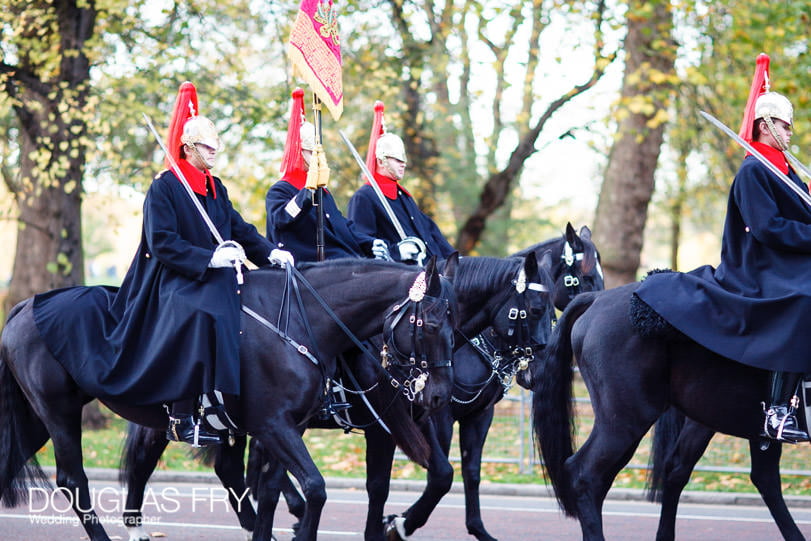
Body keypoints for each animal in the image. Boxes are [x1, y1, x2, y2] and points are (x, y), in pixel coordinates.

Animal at [0, 258, 456, 540]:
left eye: (453, 323)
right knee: (73, 480)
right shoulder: (275, 426)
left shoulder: (285, 428)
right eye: (431, 324)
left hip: (40, 419)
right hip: (58, 413)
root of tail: (25, 305)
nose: (438, 395)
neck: (297, 322)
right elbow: (317, 488)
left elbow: (271, 491)